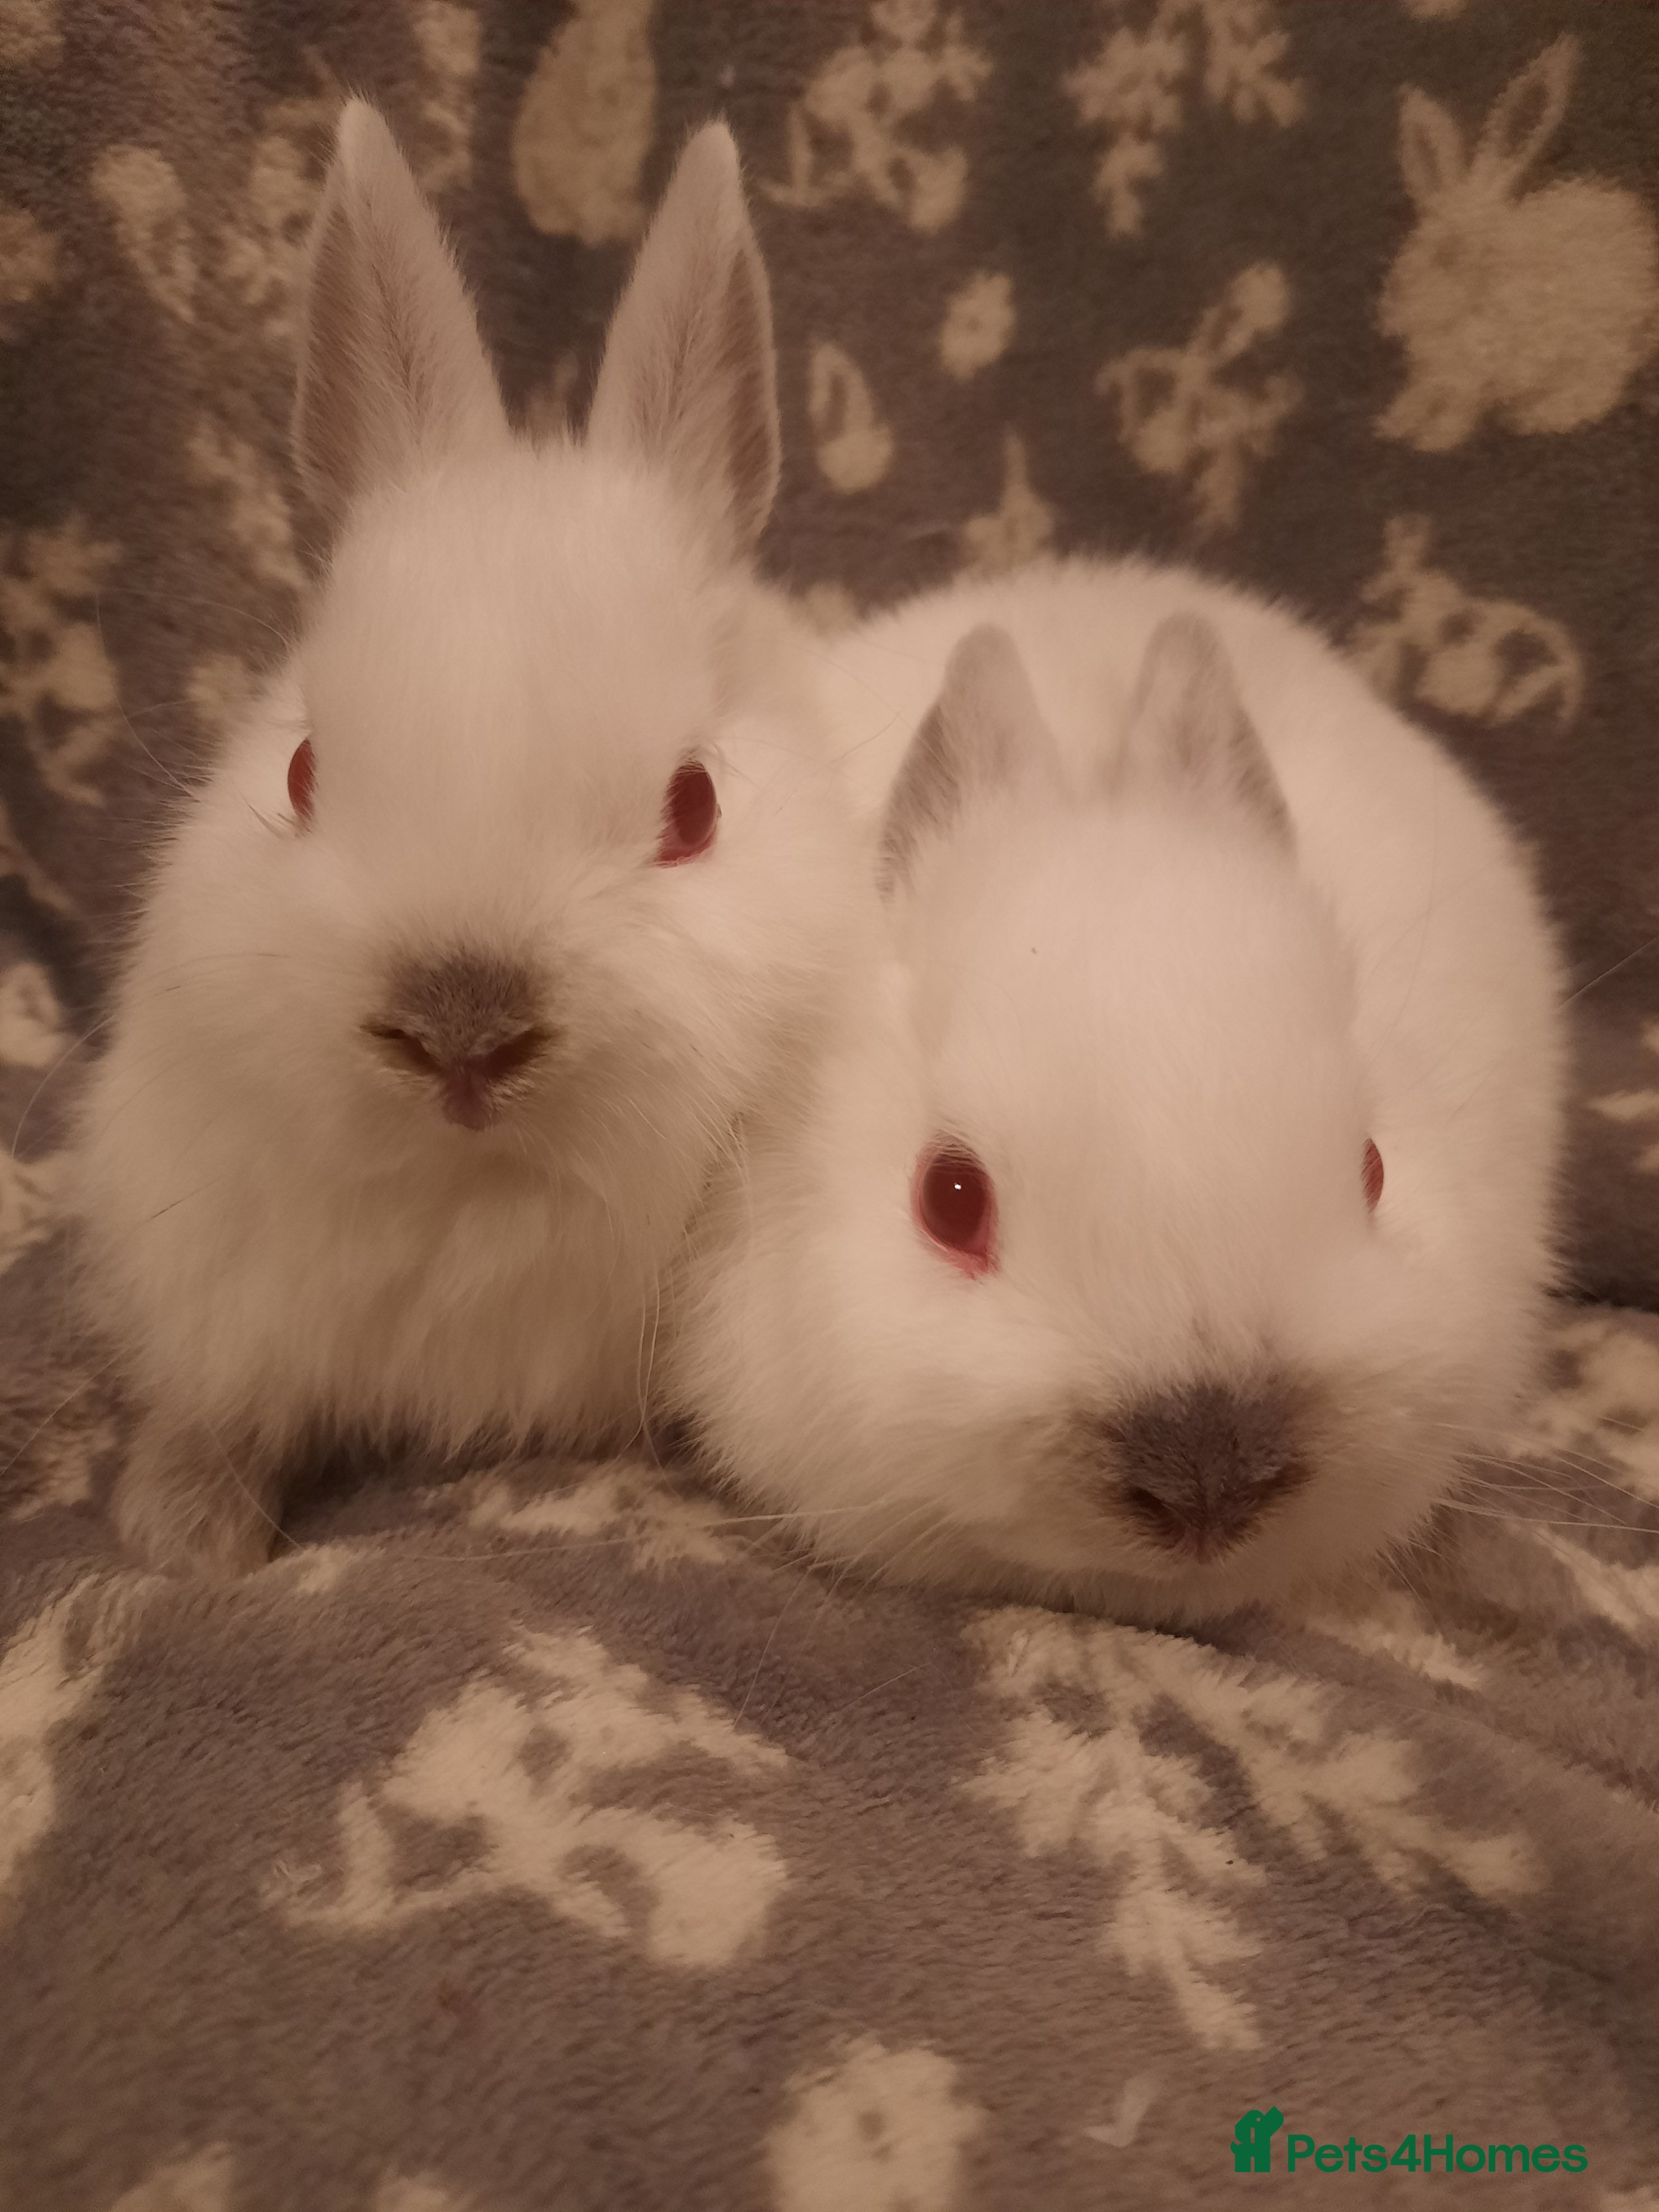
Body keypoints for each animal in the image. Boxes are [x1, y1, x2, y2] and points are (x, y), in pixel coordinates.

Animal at [73, 101, 858, 1578]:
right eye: (304, 771)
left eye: (694, 808)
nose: (461, 1028)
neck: (471, 1192)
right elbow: (222, 1413)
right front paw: (182, 1535)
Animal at [1379, 34, 1659, 452]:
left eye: (1447, 255)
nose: (1389, 312)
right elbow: (1421, 399)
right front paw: (1392, 424)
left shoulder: (1477, 376)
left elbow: (1458, 410)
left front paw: (1433, 439)